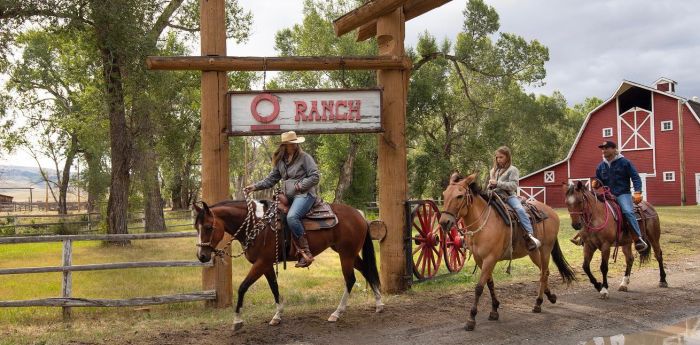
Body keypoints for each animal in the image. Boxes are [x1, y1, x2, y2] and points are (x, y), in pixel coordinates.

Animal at [193, 198, 382, 330]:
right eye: (196, 227)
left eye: (209, 227)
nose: (202, 256)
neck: (256, 224)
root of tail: (359, 214)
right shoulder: (267, 265)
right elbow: (274, 287)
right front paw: (277, 316)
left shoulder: (261, 263)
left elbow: (243, 287)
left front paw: (237, 320)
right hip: (349, 254)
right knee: (366, 271)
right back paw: (379, 304)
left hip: (346, 255)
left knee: (350, 280)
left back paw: (337, 313)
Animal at [438, 172, 576, 330]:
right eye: (445, 194)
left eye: (459, 196)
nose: (444, 222)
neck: (483, 223)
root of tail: (551, 211)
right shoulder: (481, 260)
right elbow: (489, 283)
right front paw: (494, 309)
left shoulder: (490, 259)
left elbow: (479, 287)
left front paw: (471, 318)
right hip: (534, 252)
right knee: (543, 271)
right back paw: (549, 296)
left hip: (546, 249)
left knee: (544, 273)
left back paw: (538, 303)